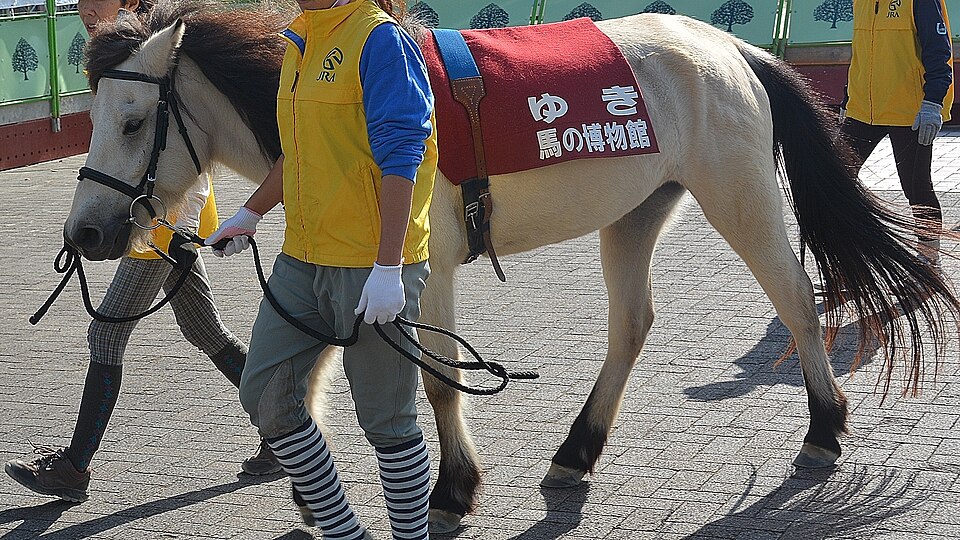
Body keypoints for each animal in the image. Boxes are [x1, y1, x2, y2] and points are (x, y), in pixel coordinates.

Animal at [62, 0, 960, 532]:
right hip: (635, 211)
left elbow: (435, 381)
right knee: (633, 325)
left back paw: (823, 429)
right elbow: (306, 373)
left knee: (799, 300)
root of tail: (731, 48)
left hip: (737, 197)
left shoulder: (425, 267)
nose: (88, 232)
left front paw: (454, 487)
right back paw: (576, 452)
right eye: (93, 120)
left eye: (135, 121)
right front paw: (295, 478)